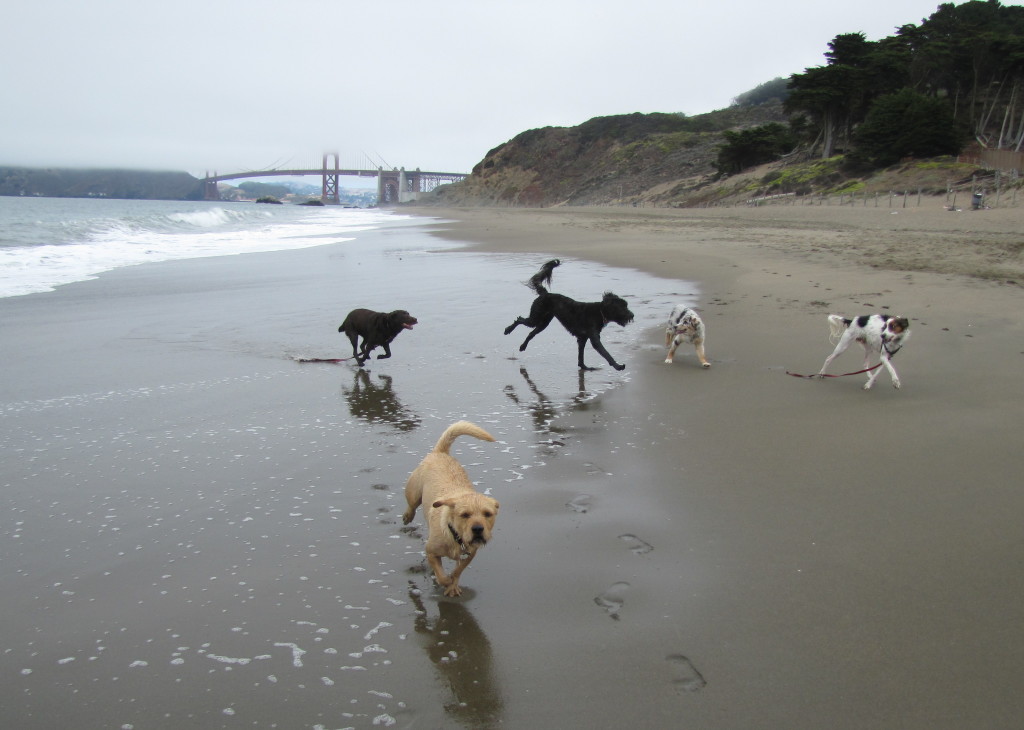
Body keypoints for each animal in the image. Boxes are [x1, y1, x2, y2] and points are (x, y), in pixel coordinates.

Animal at [401, 417, 497, 593]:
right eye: (464, 515)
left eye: (488, 514)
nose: (478, 529)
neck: (455, 536)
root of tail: (441, 452)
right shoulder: (431, 552)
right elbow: (441, 574)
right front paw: (446, 581)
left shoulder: (470, 554)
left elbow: (458, 570)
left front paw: (453, 584)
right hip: (414, 492)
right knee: (411, 504)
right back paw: (407, 516)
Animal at [501, 259, 630, 370]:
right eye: (622, 307)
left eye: (626, 305)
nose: (632, 315)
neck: (599, 312)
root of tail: (545, 294)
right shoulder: (594, 339)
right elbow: (606, 354)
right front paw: (618, 366)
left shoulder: (582, 338)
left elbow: (581, 355)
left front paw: (584, 367)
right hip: (535, 318)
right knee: (520, 319)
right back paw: (508, 330)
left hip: (543, 323)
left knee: (531, 333)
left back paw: (522, 346)